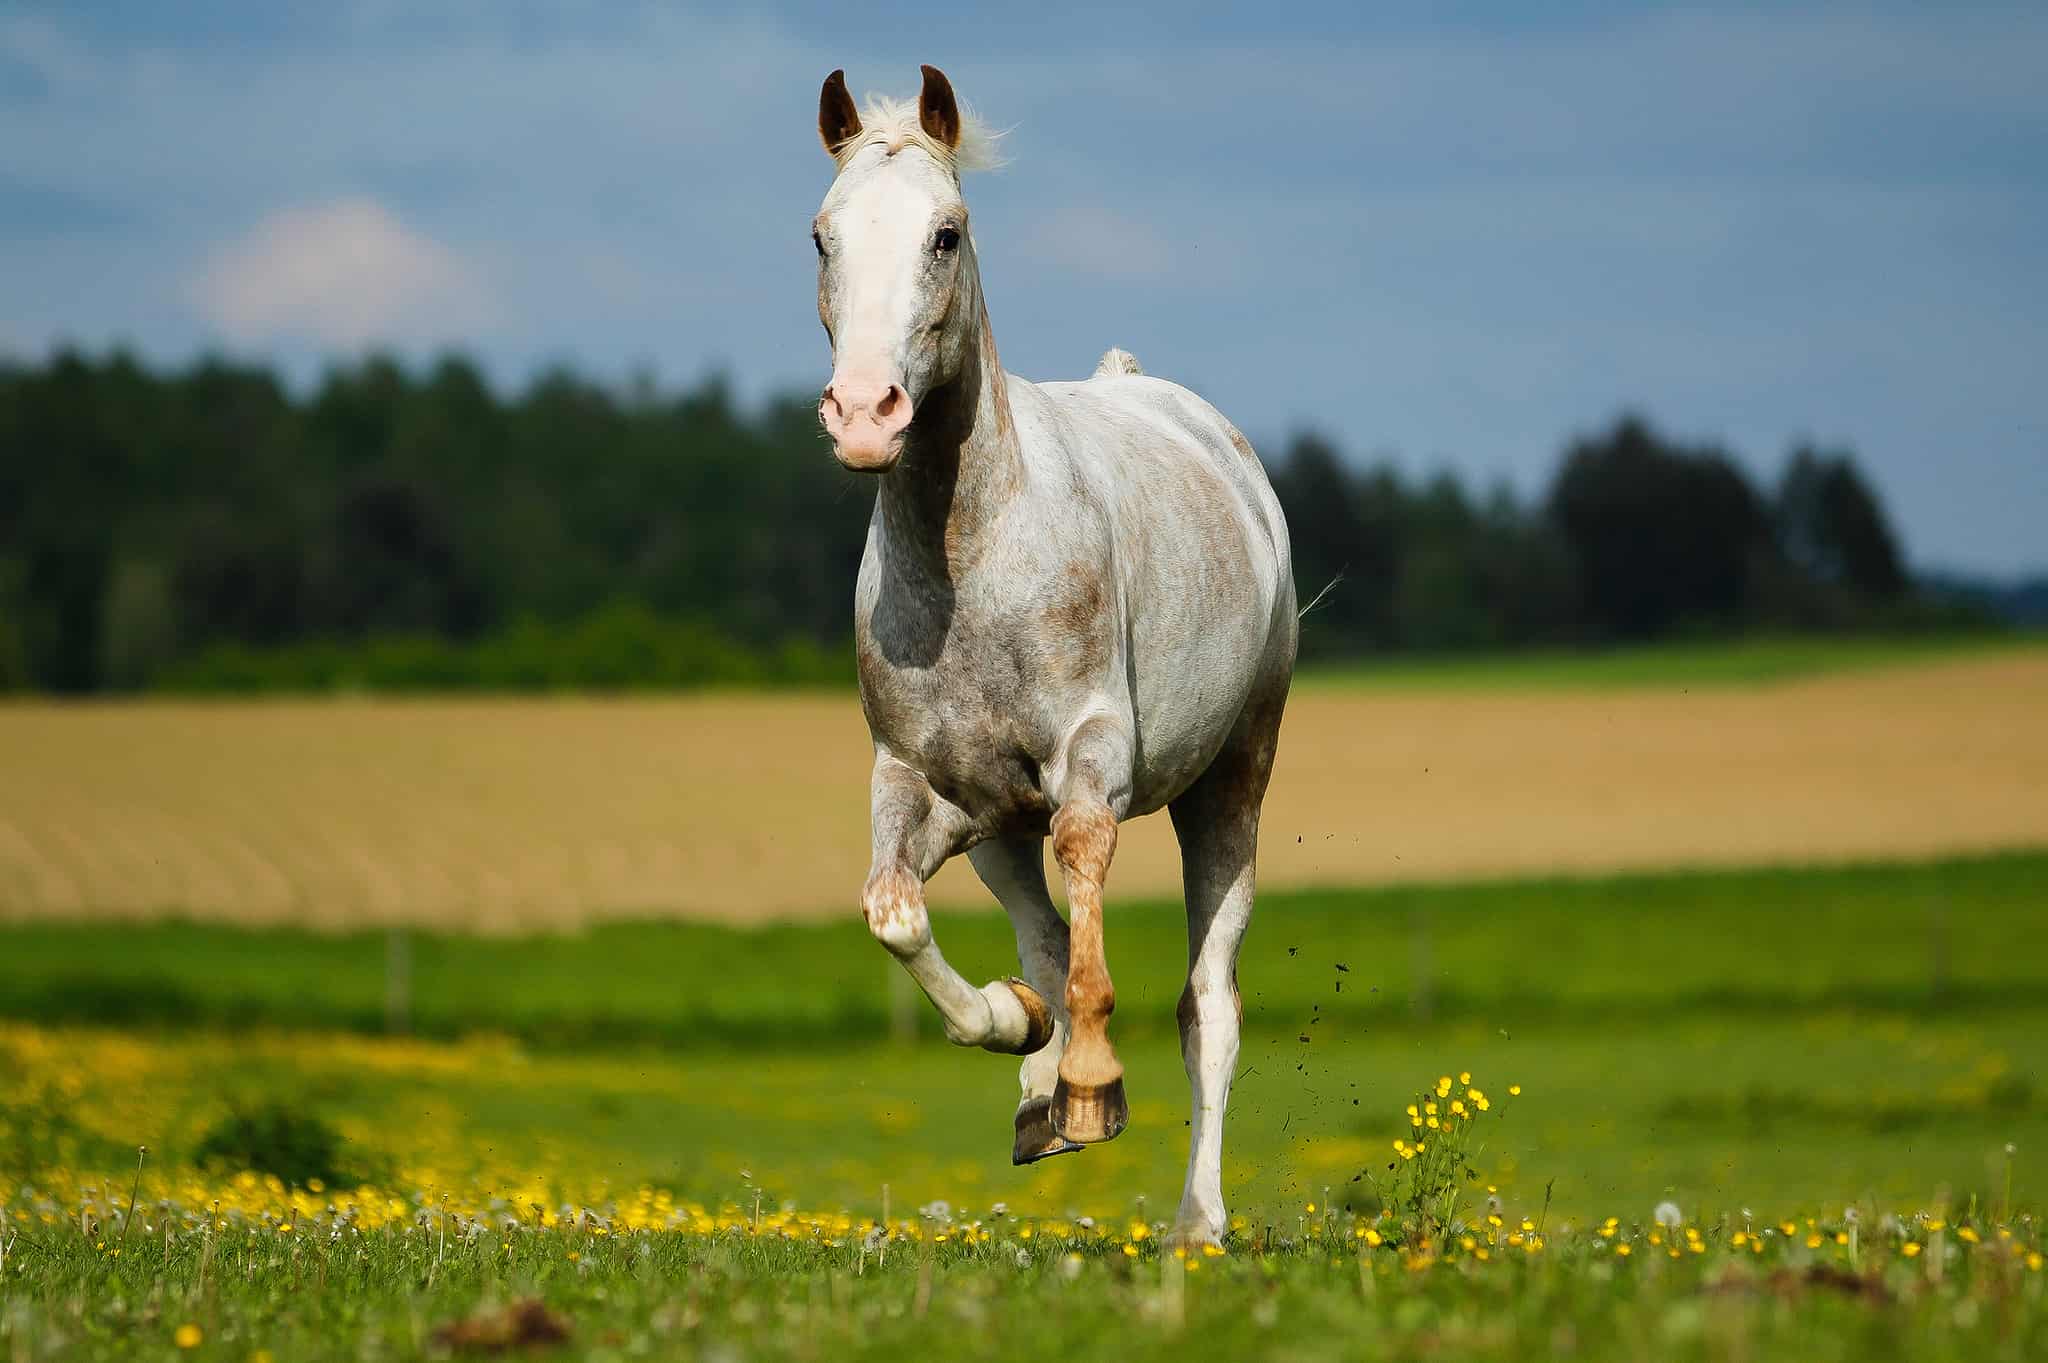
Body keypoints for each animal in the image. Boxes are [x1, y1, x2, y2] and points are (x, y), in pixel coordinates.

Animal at [812, 64, 1297, 1247]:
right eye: (823, 238)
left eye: (946, 233)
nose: (864, 414)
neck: (974, 559)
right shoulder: (923, 782)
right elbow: (894, 911)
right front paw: (1018, 1036)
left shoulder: (1090, 756)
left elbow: (1088, 885)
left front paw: (1087, 1083)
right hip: (994, 819)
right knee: (1031, 923)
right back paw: (1032, 1081)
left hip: (1232, 782)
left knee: (1207, 1003)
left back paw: (1197, 1218)